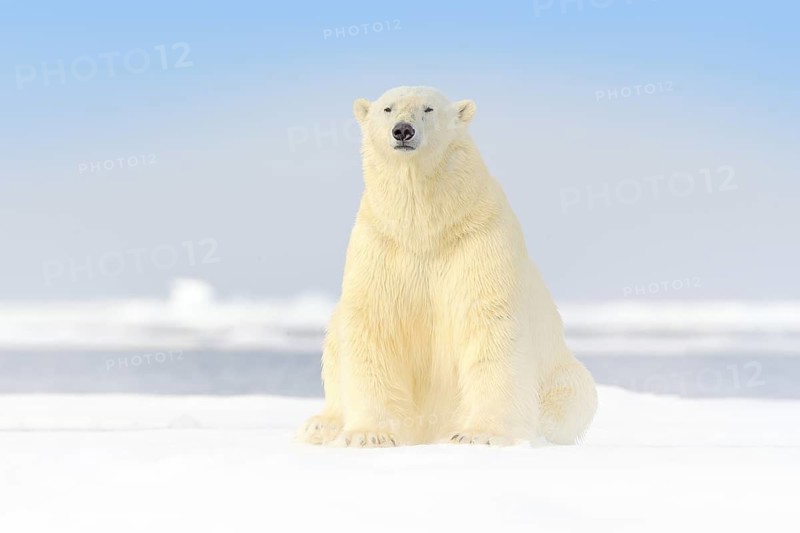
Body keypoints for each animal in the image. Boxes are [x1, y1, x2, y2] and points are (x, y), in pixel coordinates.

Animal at [299, 86, 597, 447]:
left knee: (573, 397)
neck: (426, 228)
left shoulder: (478, 239)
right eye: (388, 109)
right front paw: (369, 434)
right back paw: (321, 425)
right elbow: (374, 323)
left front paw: (480, 434)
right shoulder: (381, 243)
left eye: (428, 109)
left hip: (560, 373)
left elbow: (489, 325)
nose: (403, 130)